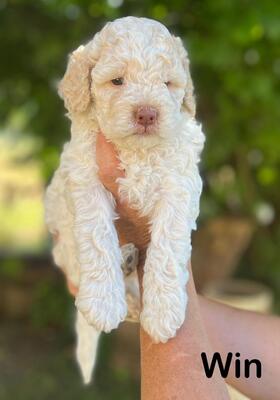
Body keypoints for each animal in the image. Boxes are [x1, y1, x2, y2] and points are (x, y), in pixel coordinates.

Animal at [44, 17, 205, 382]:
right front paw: (104, 303)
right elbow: (97, 236)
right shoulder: (85, 175)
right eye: (117, 81)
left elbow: (169, 244)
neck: (138, 152)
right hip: (63, 238)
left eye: (167, 83)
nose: (147, 113)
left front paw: (163, 312)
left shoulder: (180, 183)